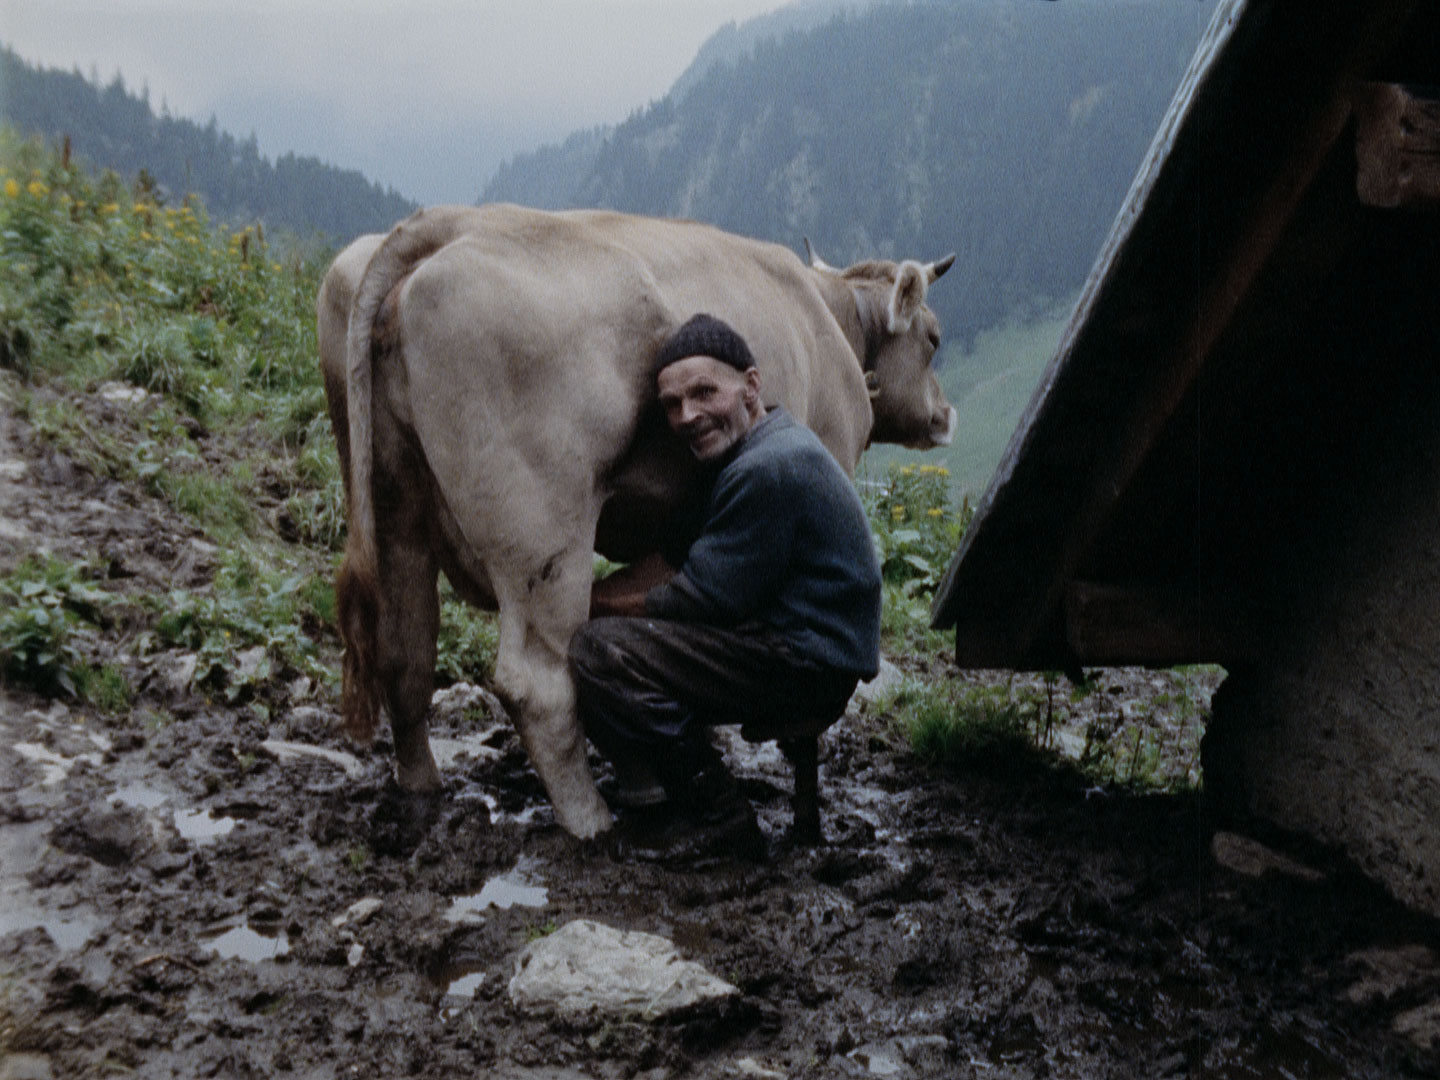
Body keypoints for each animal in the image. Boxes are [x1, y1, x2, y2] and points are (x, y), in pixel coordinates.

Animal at [319, 204, 950, 846]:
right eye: (933, 338)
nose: (944, 414)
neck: (830, 316)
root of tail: (451, 222)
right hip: (543, 532)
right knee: (537, 684)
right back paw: (592, 822)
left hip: (392, 503)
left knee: (406, 649)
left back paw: (422, 786)